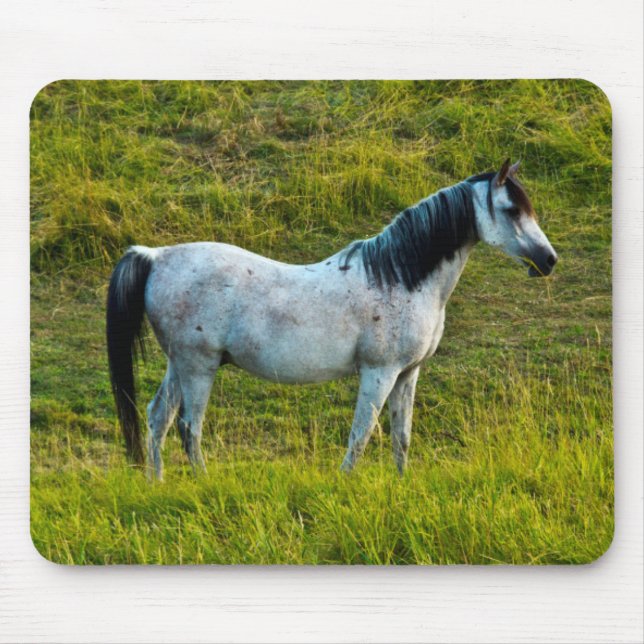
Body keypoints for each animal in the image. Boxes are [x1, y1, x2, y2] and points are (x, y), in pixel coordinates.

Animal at [106, 159, 557, 480]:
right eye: (511, 209)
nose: (549, 261)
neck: (400, 277)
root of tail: (155, 256)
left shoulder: (407, 373)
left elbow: (401, 437)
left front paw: (402, 485)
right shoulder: (379, 372)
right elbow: (362, 433)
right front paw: (345, 483)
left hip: (180, 364)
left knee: (158, 418)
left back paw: (157, 483)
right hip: (199, 367)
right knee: (189, 428)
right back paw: (203, 483)